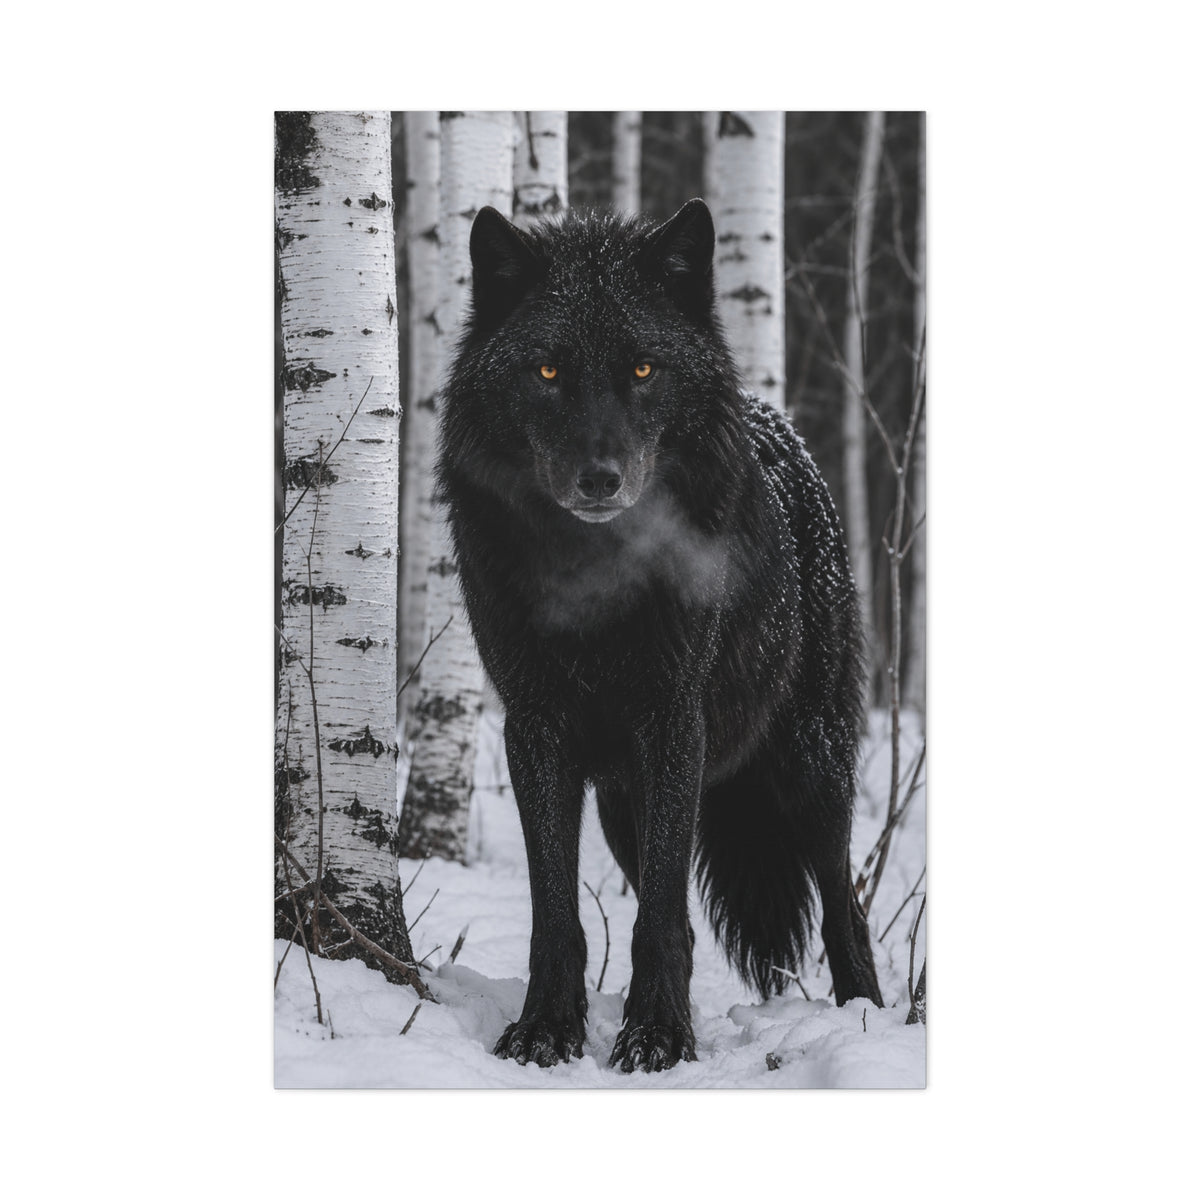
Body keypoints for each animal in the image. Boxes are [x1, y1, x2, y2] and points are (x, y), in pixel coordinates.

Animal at [437, 199, 882, 1072]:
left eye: (644, 371)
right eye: (547, 372)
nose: (600, 479)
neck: (595, 577)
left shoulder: (674, 723)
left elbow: (661, 919)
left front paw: (657, 1036)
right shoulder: (536, 729)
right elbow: (557, 911)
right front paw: (547, 1028)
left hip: (808, 768)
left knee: (845, 909)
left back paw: (870, 1021)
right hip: (622, 804)